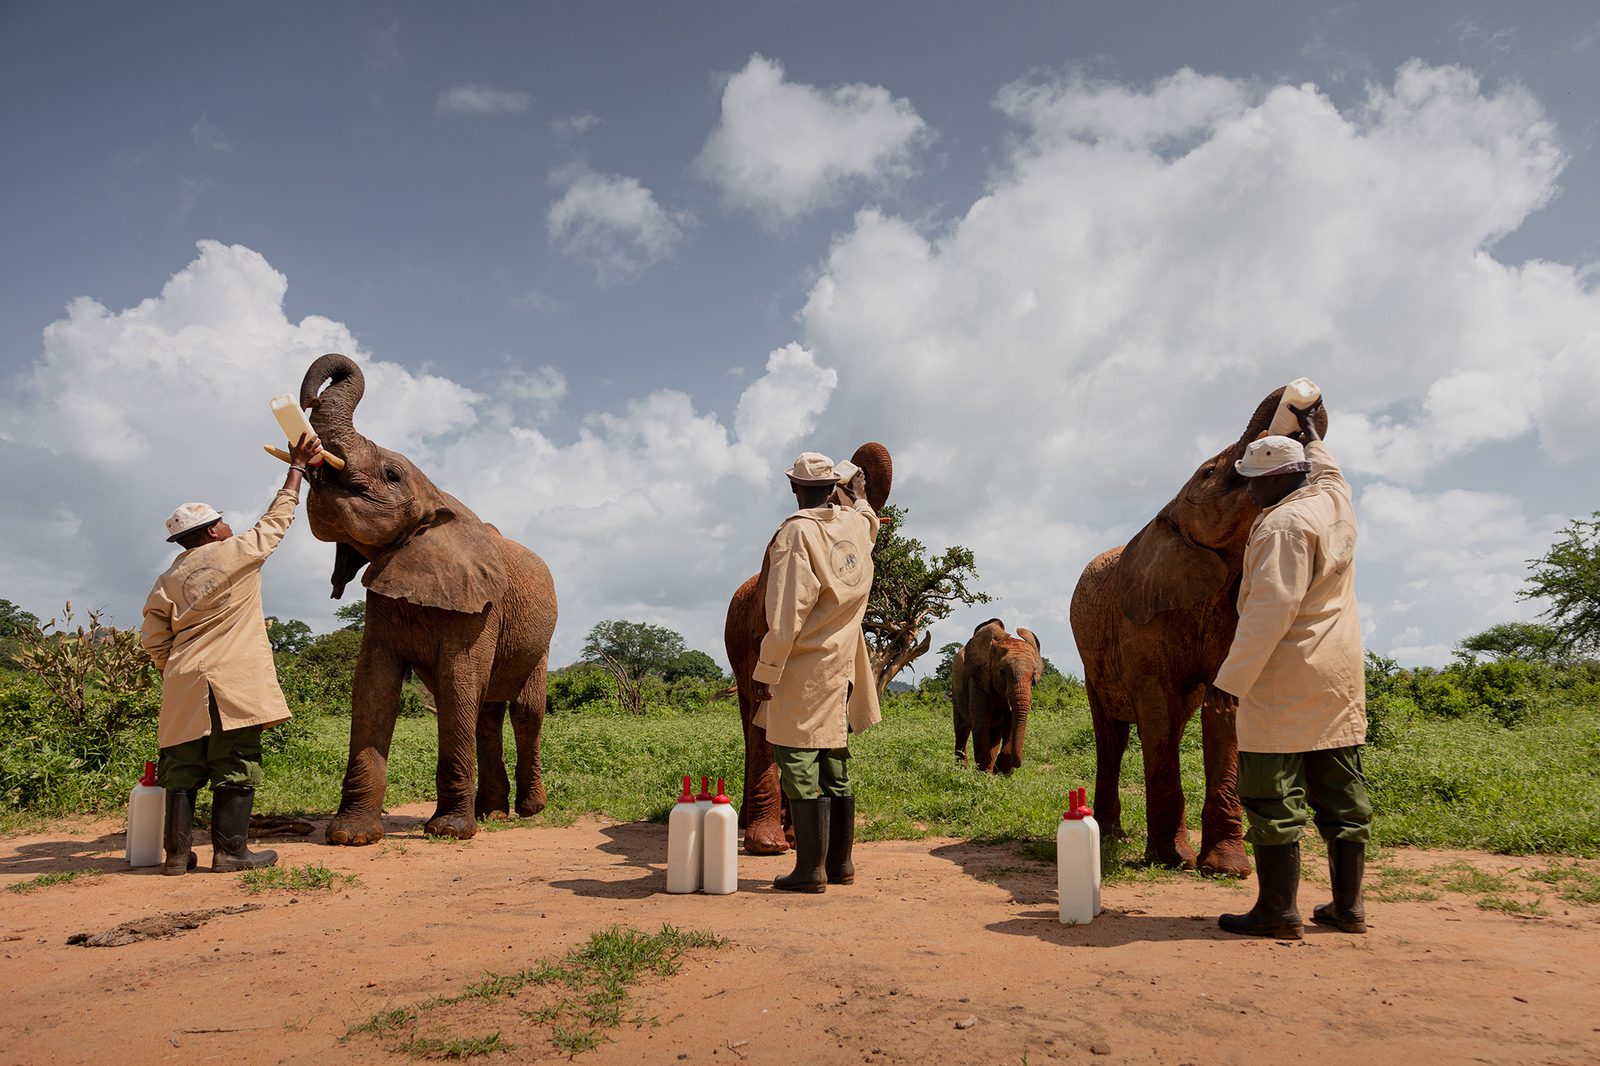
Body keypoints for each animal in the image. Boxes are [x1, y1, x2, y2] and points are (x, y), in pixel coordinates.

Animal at [299, 353, 559, 845]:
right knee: (487, 714)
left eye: (392, 474)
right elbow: (373, 684)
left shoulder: (480, 608)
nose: (305, 399)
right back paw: (493, 814)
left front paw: (450, 832)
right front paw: (350, 836)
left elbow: (457, 682)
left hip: (543, 640)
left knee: (525, 712)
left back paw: (530, 811)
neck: (437, 495)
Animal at [951, 619, 1043, 774]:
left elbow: (1011, 723)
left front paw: (1001, 771)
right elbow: (981, 723)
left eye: (1033, 675)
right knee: (961, 730)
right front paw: (985, 774)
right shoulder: (977, 681)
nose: (1017, 765)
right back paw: (961, 771)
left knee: (994, 733)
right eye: (1002, 672)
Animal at [1069, 386, 1328, 878]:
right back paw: (1111, 837)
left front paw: (1227, 868)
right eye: (1209, 472)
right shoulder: (1139, 622)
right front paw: (1173, 860)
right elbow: (1155, 708)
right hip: (1092, 662)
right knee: (1113, 738)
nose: (1301, 407)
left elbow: (1224, 706)